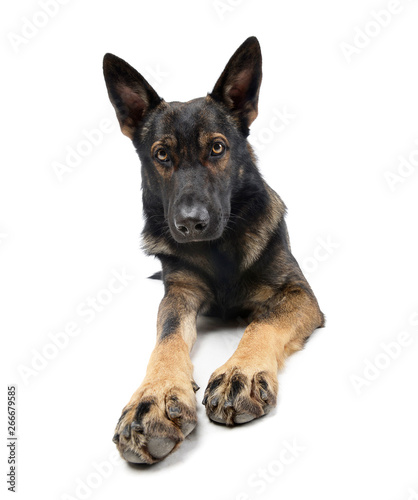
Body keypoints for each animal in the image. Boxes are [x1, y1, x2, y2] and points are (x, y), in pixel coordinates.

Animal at [103, 36, 324, 464]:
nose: (190, 223)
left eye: (218, 148)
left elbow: (264, 321)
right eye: (162, 154)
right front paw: (154, 397)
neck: (218, 249)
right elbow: (168, 338)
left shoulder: (297, 292)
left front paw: (242, 372)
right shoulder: (179, 294)